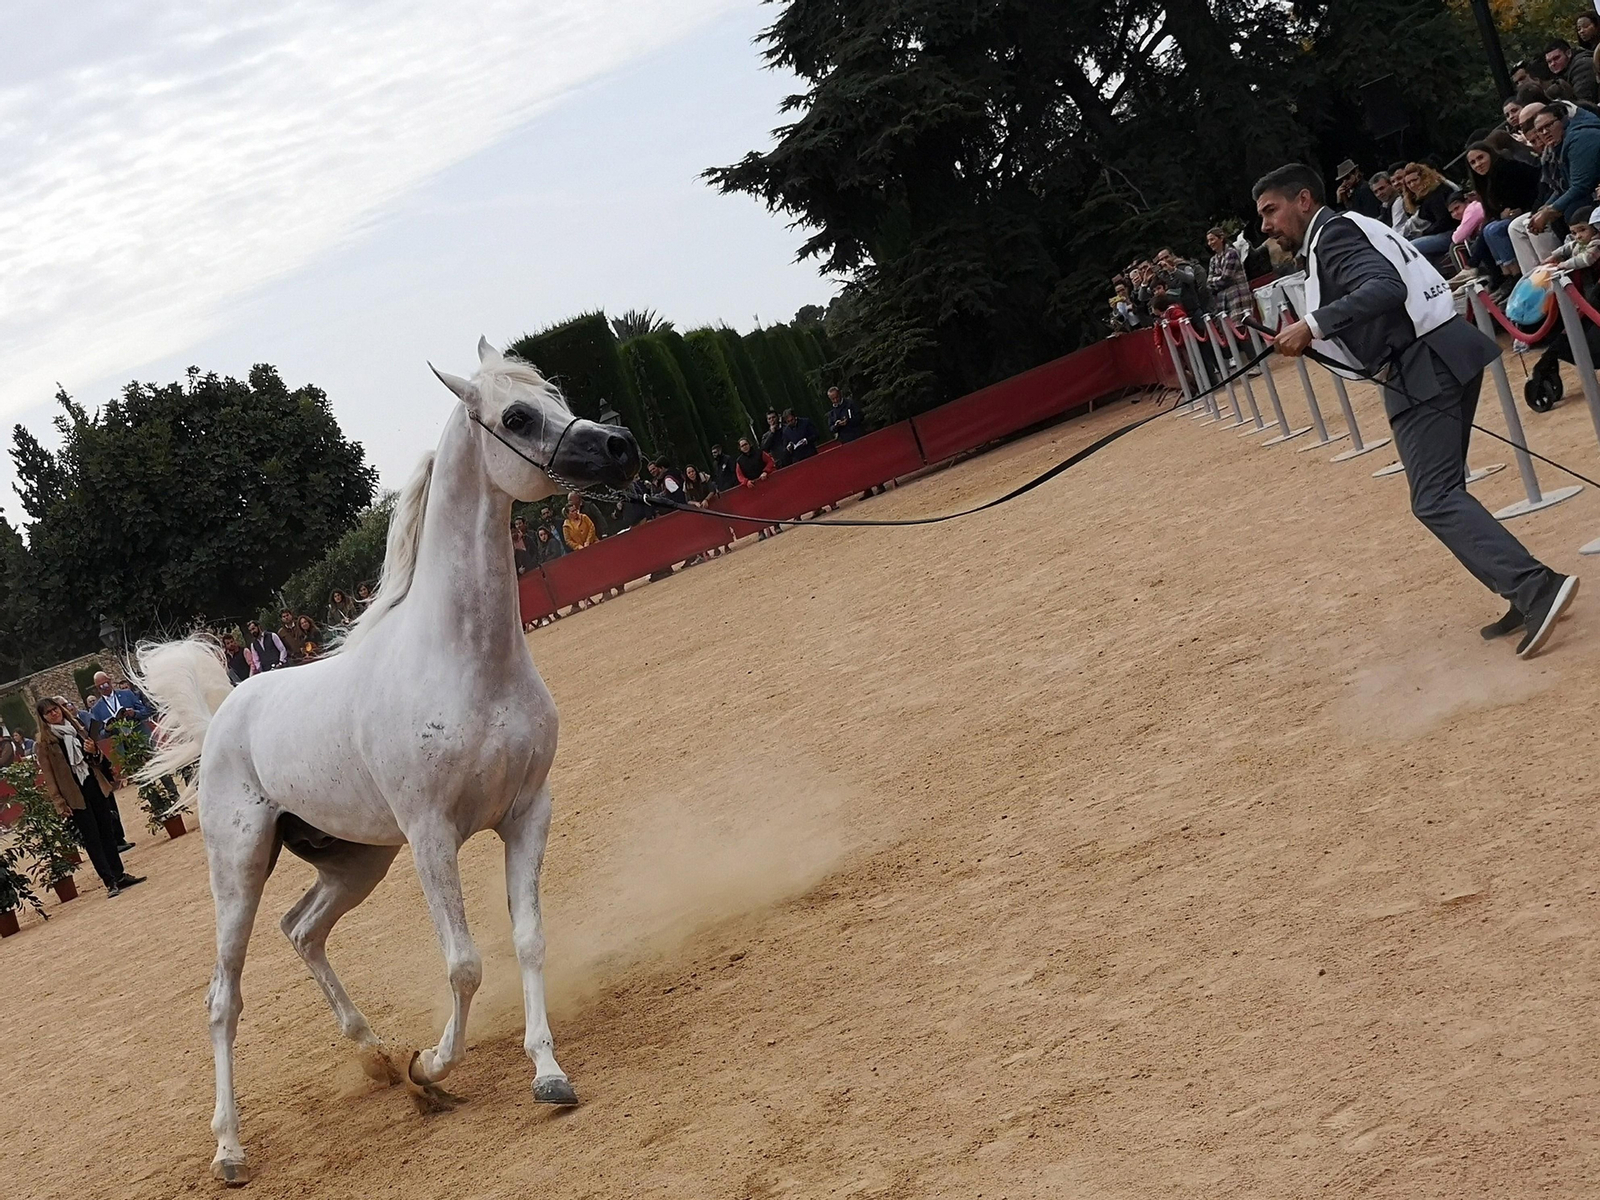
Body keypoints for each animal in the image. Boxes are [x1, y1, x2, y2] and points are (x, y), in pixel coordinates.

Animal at [134, 338, 639, 1185]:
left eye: (557, 396)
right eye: (516, 416)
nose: (620, 446)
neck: (468, 663)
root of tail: (226, 713)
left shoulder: (527, 814)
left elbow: (529, 939)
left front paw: (547, 1073)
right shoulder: (434, 835)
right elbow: (464, 963)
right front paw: (431, 1069)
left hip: (355, 860)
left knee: (303, 931)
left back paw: (372, 1053)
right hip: (238, 869)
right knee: (222, 999)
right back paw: (231, 1148)